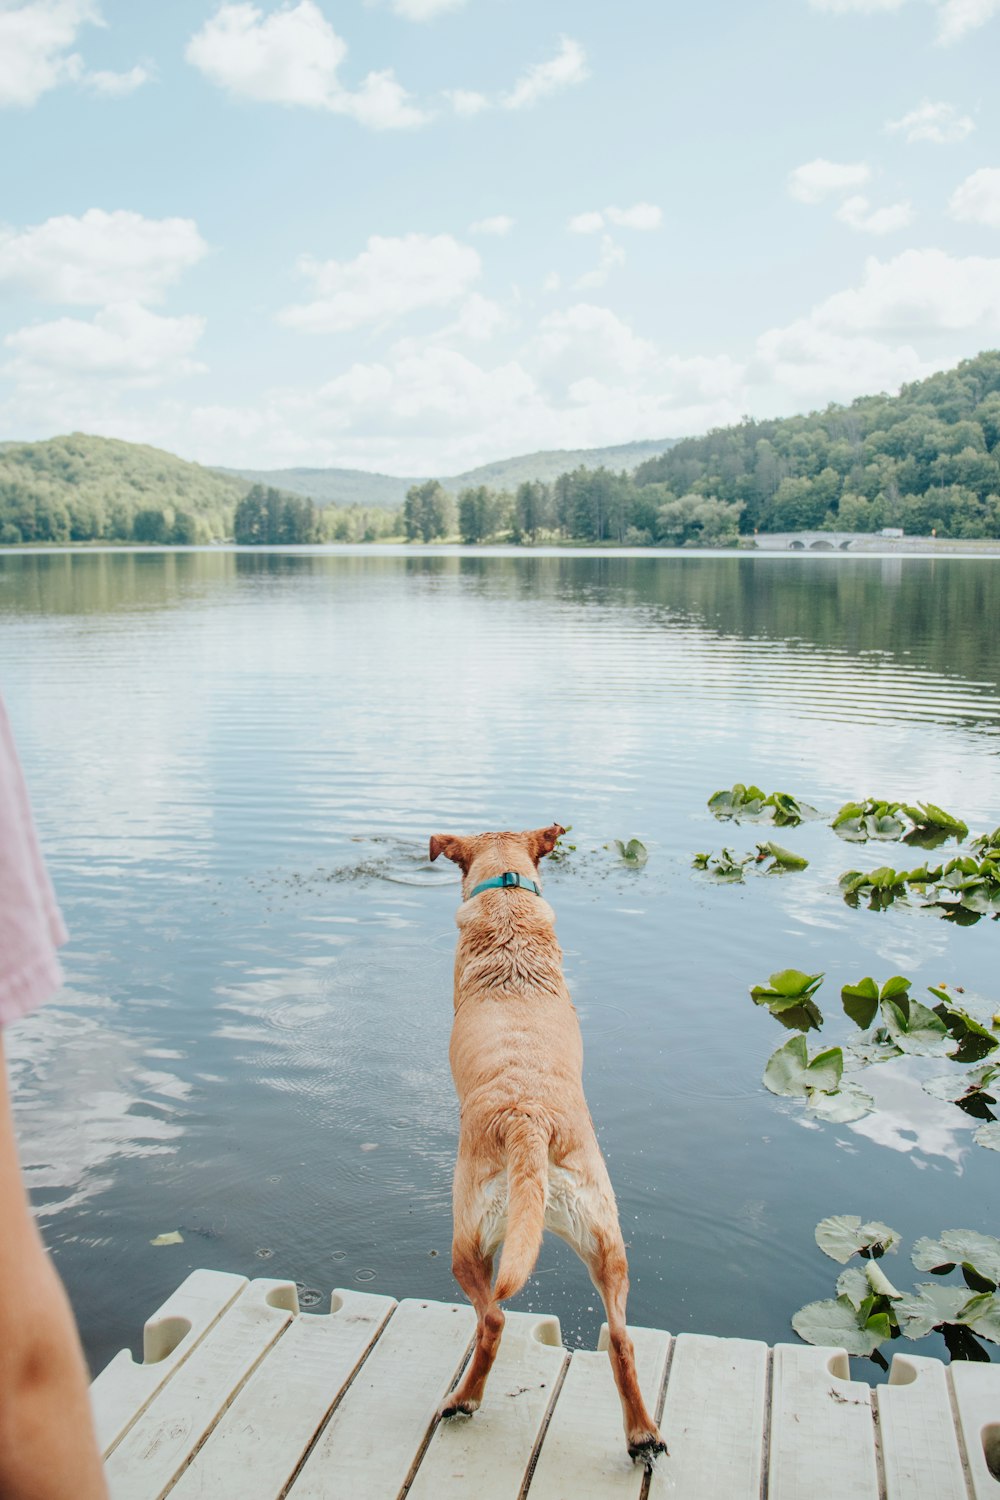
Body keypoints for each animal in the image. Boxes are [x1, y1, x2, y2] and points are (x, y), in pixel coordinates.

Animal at [428, 822, 668, 1464]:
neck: (508, 895)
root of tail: (528, 1120)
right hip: (605, 1241)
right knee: (621, 1338)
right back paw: (642, 1433)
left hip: (468, 1243)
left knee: (492, 1321)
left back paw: (464, 1400)